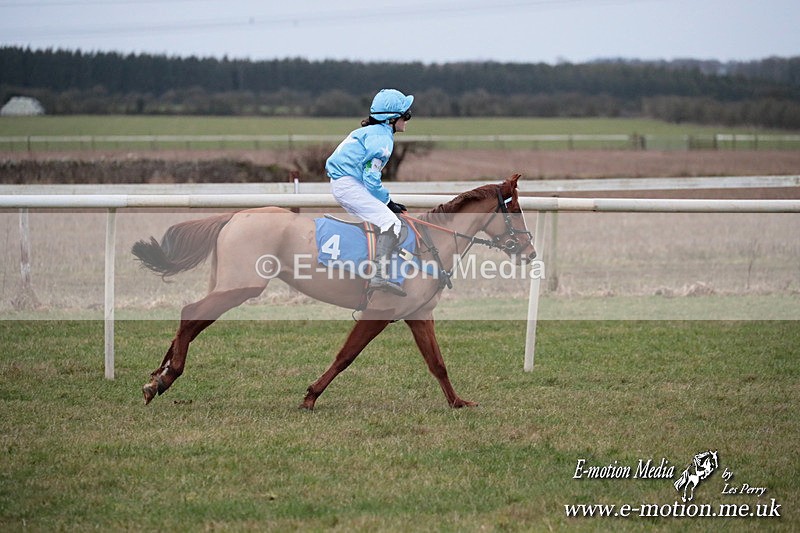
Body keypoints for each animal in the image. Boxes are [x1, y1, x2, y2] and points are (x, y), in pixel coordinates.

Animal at [132, 174, 536, 409]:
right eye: (515, 208)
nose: (530, 251)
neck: (428, 245)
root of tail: (234, 215)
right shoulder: (379, 313)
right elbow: (346, 356)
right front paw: (311, 396)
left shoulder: (419, 315)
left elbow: (437, 363)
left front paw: (458, 402)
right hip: (241, 286)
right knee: (190, 313)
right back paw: (167, 376)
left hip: (230, 284)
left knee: (192, 317)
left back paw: (159, 376)